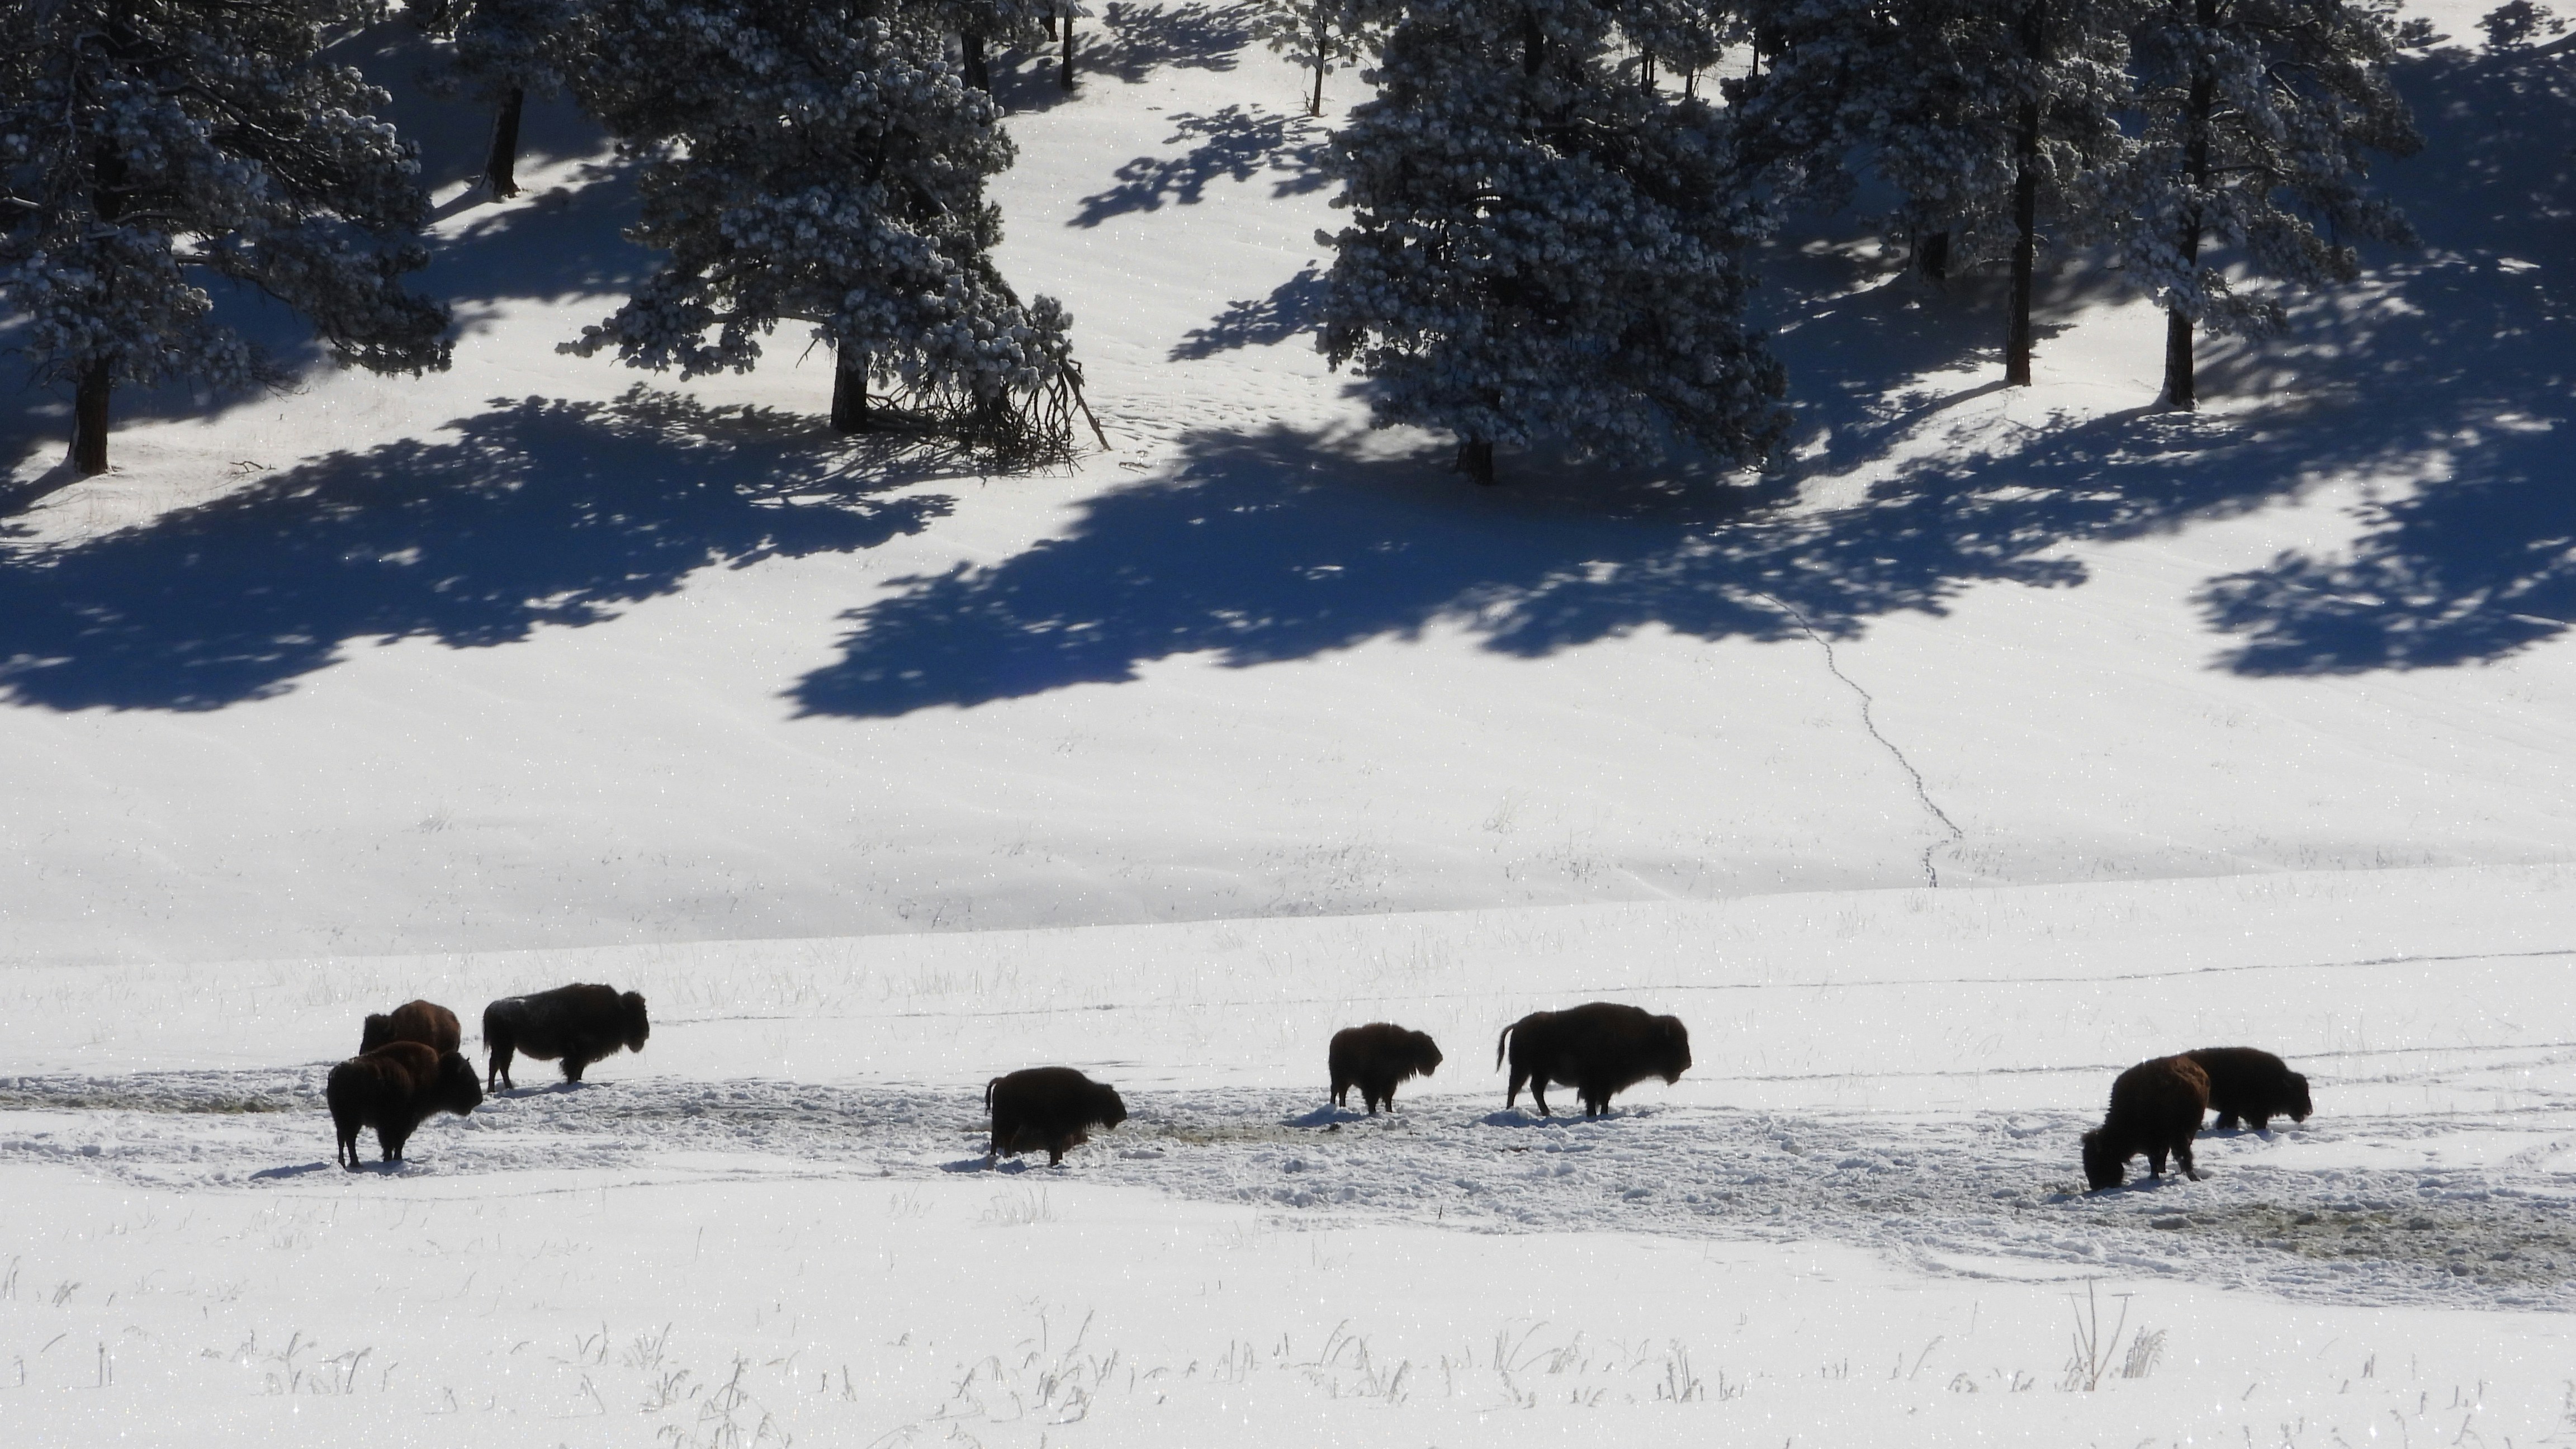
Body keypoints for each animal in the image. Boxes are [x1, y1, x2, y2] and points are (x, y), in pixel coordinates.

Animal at [327, 1042, 484, 1169]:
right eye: (466, 1078)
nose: (479, 1099)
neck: (437, 1074)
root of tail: (336, 1075)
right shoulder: (398, 1124)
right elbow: (394, 1143)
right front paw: (394, 1160)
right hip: (352, 1121)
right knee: (349, 1140)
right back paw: (355, 1164)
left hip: (343, 1121)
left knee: (343, 1140)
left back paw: (345, 1163)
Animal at [482, 984, 650, 1090]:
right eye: (633, 1015)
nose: (646, 1034)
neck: (615, 1010)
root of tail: (490, 1009)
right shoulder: (576, 1055)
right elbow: (572, 1071)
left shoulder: (582, 1057)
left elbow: (578, 1072)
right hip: (505, 1047)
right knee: (500, 1066)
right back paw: (504, 1089)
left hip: (504, 1048)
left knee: (496, 1066)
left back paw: (496, 1089)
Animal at [986, 1067, 1127, 1166]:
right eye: (1112, 1100)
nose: (1124, 1115)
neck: (1086, 1094)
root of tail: (1001, 1081)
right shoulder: (1055, 1132)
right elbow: (1055, 1147)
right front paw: (1054, 1162)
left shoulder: (1062, 1132)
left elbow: (1059, 1147)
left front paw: (1058, 1161)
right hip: (1005, 1122)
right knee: (997, 1139)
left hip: (1013, 1125)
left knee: (1006, 1140)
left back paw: (1006, 1157)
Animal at [1329, 1023, 1444, 1115]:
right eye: (1425, 1046)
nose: (1440, 1058)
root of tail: (1335, 1040)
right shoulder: (1373, 1084)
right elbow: (1373, 1099)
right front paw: (1373, 1112)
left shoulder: (1390, 1083)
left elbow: (1388, 1098)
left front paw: (1389, 1111)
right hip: (1339, 1078)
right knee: (1336, 1091)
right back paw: (1333, 1106)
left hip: (1346, 1080)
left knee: (1342, 1092)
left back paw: (1342, 1107)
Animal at [1497, 1002, 1691, 1118]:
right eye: (1674, 1044)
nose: (1688, 1063)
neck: (1646, 1034)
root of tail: (1517, 1026)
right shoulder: (1593, 1082)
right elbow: (1592, 1100)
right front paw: (1593, 1115)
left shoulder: (1607, 1084)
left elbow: (1604, 1100)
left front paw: (1603, 1114)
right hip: (1523, 1069)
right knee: (1516, 1089)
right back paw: (1514, 1111)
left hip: (1539, 1073)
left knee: (1534, 1089)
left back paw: (1546, 1113)